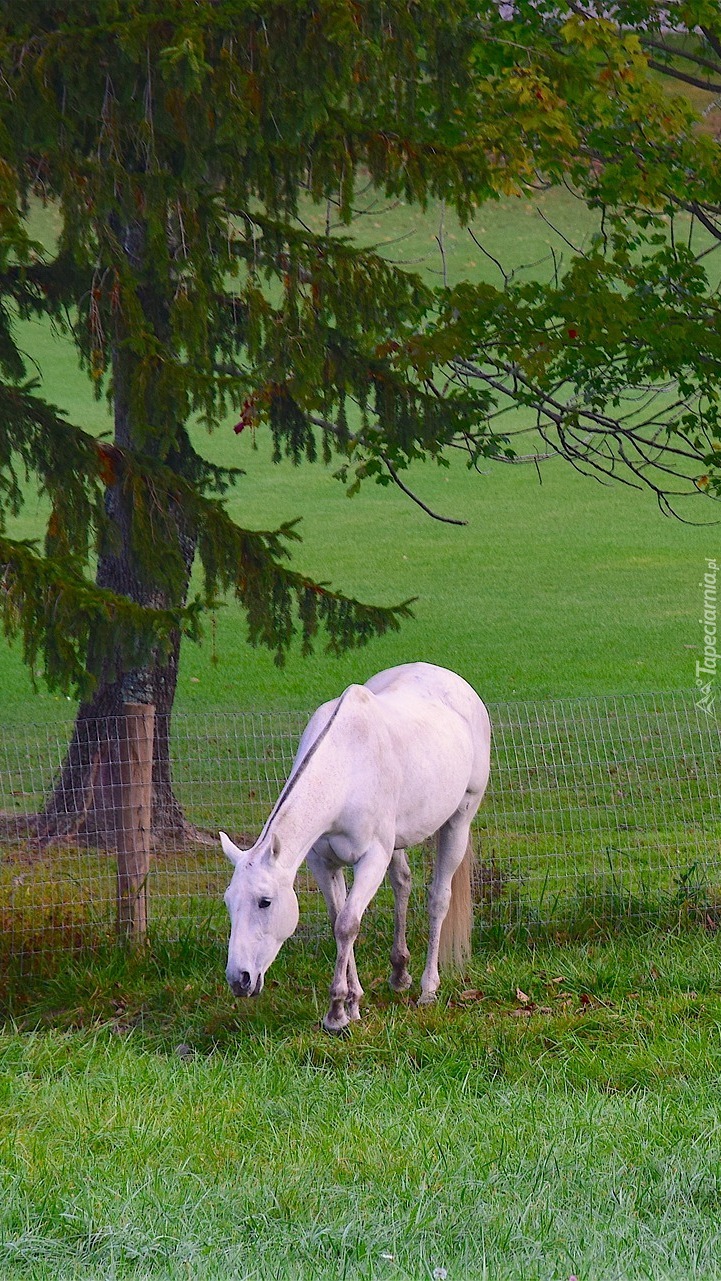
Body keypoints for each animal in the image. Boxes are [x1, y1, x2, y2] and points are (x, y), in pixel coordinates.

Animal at [220, 660, 491, 1029]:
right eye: (228, 903)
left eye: (265, 902)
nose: (239, 980)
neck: (345, 769)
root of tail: (455, 682)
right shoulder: (323, 862)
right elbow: (339, 920)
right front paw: (352, 1004)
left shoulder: (372, 858)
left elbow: (348, 924)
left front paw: (337, 1012)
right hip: (399, 841)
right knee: (402, 884)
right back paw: (399, 974)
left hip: (459, 820)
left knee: (438, 899)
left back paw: (428, 989)